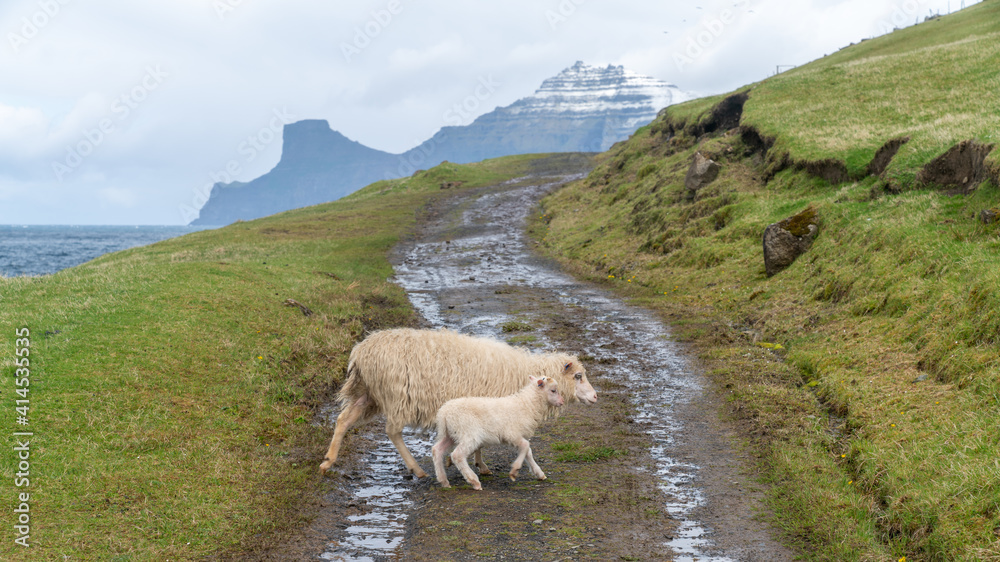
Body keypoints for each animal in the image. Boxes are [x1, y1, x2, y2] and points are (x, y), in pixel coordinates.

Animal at [319, 328, 598, 478]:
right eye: (578, 376)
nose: (596, 396)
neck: (520, 373)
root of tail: (361, 351)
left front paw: (469, 463)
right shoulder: (484, 407)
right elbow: (481, 444)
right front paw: (479, 465)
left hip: (368, 395)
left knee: (343, 420)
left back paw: (328, 460)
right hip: (396, 396)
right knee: (393, 432)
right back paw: (417, 469)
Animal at [432, 376, 564, 490]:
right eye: (553, 390)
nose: (562, 402)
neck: (527, 404)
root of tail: (444, 413)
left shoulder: (518, 436)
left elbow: (528, 452)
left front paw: (539, 474)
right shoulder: (511, 434)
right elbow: (526, 446)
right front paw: (514, 471)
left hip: (451, 434)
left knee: (437, 450)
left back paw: (444, 481)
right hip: (468, 433)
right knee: (457, 455)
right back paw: (474, 481)